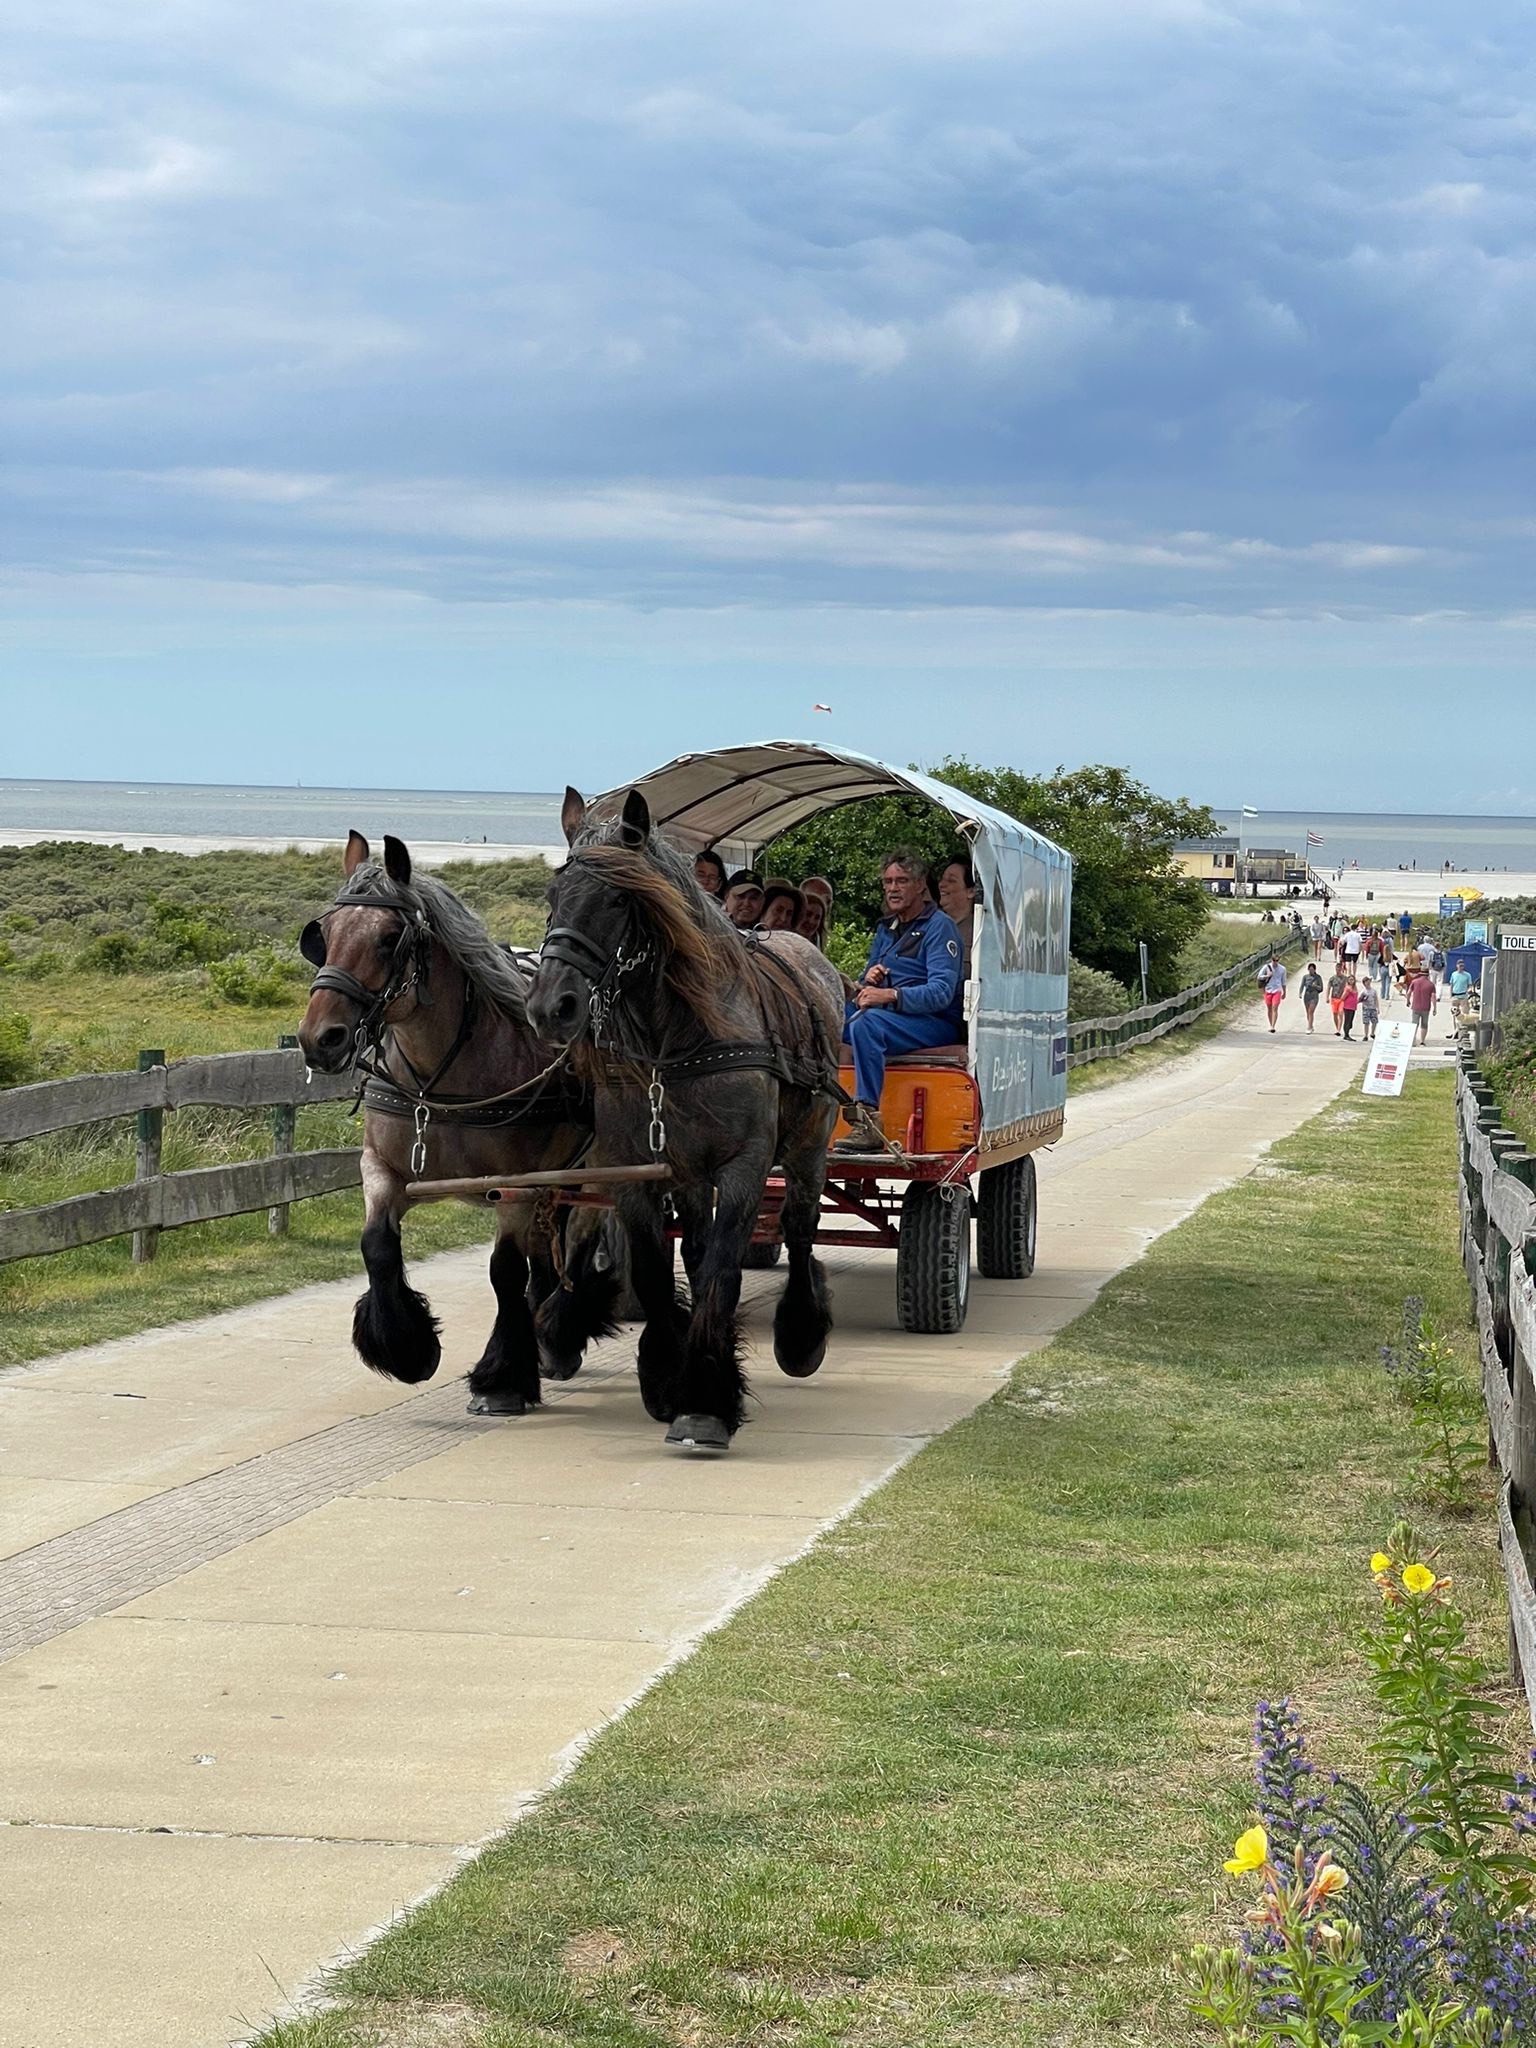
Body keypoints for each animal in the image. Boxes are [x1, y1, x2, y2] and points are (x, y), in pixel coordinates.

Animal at [296, 827, 618, 1409]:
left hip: (597, 1167)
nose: (320, 1039)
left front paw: (502, 1378)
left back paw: (558, 1336)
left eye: (389, 938)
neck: (438, 1081)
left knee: (580, 1241)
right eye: (323, 934)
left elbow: (504, 1270)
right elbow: (377, 1246)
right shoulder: (383, 1170)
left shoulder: (514, 1184)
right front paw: (406, 1349)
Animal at [528, 786, 843, 1458]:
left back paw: (801, 1334)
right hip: (692, 1172)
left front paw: (704, 1402)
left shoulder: (745, 1167)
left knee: (800, 1226)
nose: (549, 1007)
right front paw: (667, 1375)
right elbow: (654, 1270)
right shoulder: (634, 1169)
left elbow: (725, 1270)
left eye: (619, 898)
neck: (675, 1037)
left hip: (808, 1145)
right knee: (696, 1247)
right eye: (553, 893)